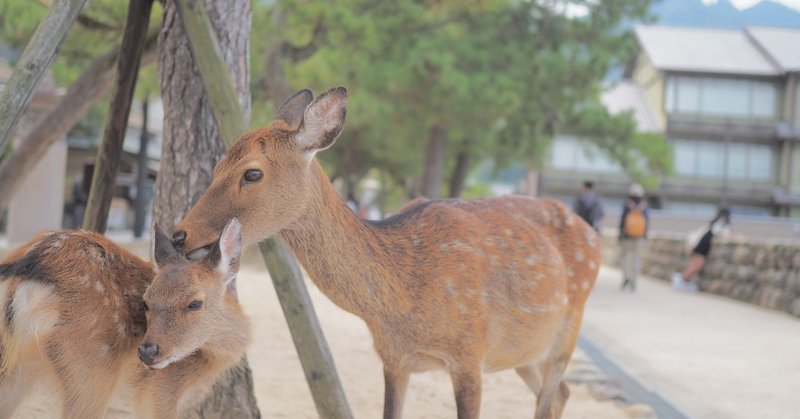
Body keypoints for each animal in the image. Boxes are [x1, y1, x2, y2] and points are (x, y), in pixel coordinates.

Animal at [173, 88, 600, 419]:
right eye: (217, 165)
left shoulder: (469, 354)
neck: (400, 305)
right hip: (523, 349)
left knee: (551, 394)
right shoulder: (393, 360)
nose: (180, 235)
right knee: (560, 393)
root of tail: (592, 234)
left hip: (569, 329)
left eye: (253, 173)